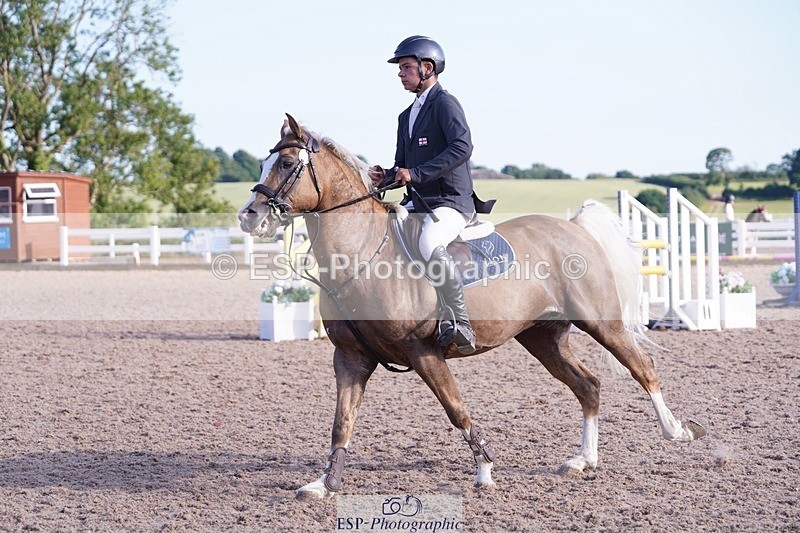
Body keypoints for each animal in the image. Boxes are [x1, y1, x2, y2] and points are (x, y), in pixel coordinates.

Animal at [238, 114, 706, 500]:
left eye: (286, 164)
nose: (250, 216)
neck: (362, 256)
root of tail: (573, 229)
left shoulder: (424, 353)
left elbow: (456, 409)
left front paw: (484, 472)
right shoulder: (351, 357)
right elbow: (342, 421)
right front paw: (324, 483)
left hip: (601, 323)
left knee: (642, 367)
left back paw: (677, 431)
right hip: (542, 337)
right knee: (587, 385)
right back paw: (582, 460)